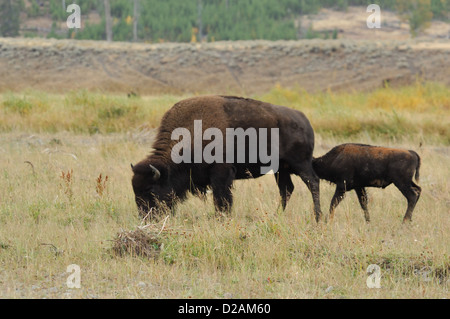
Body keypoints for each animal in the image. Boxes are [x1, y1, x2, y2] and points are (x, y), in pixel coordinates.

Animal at [132, 96, 322, 222]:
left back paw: (318, 217)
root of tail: (304, 121)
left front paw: (221, 217)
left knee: (312, 183)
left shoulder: (221, 173)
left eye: (150, 189)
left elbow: (221, 198)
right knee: (286, 189)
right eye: (136, 190)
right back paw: (278, 215)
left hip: (300, 164)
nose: (145, 217)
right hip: (280, 170)